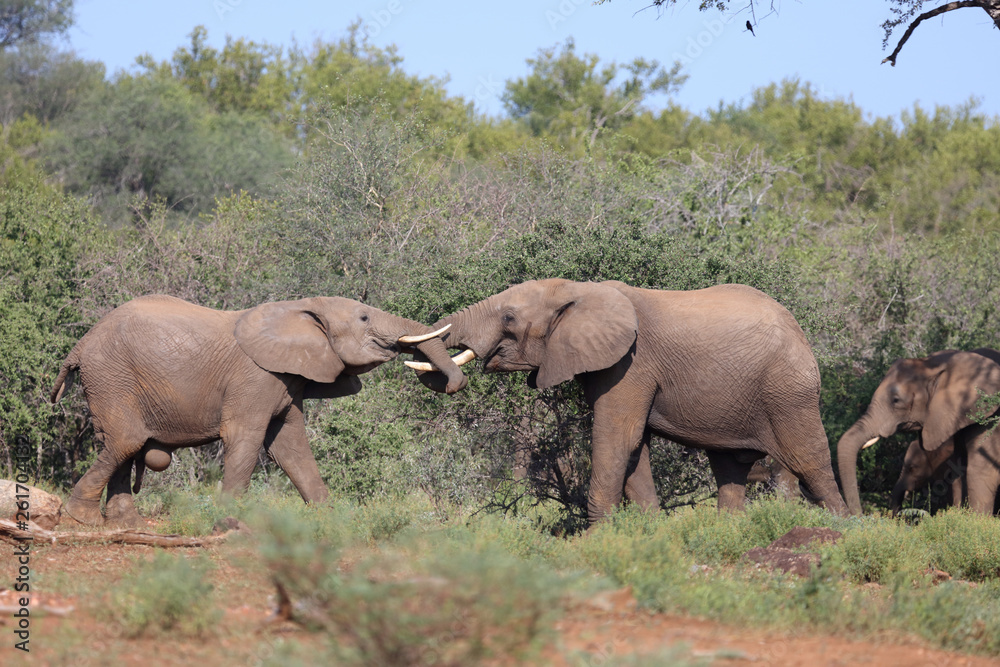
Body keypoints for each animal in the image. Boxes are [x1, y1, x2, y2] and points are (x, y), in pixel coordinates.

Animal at [50, 294, 467, 527]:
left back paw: (126, 523)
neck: (300, 309)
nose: (453, 384)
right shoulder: (256, 376)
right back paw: (82, 519)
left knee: (121, 445)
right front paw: (227, 524)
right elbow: (246, 438)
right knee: (126, 440)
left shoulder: (288, 379)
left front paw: (331, 519)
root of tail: (80, 344)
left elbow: (291, 445)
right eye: (364, 318)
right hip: (111, 376)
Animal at [407, 278, 848, 523]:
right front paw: (649, 534)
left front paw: (597, 540)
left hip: (789, 390)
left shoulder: (631, 363)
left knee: (811, 463)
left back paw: (845, 530)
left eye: (509, 319)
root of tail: (801, 331)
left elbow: (618, 437)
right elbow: (634, 448)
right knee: (729, 470)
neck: (581, 290)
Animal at [837, 348, 1000, 515]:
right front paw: (958, 514)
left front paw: (977, 519)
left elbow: (980, 470)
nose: (860, 514)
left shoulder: (991, 420)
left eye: (896, 400)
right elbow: (958, 469)